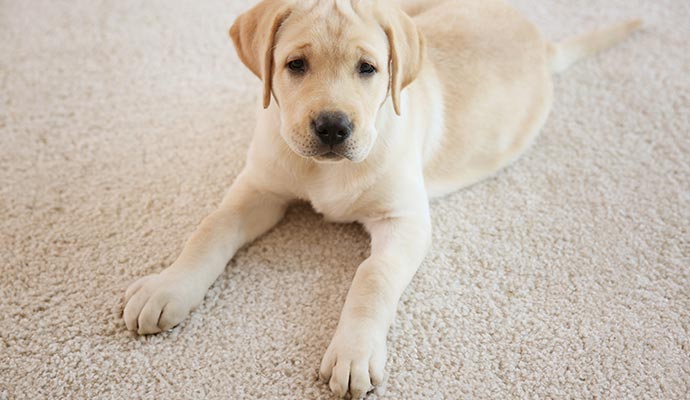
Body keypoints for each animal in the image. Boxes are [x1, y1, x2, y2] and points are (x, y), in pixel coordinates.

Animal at [122, 0, 640, 396]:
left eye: (367, 69)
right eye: (295, 65)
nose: (333, 127)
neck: (326, 171)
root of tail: (539, 40)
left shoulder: (405, 221)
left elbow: (373, 275)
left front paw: (353, 352)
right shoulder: (259, 188)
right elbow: (210, 229)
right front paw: (168, 287)